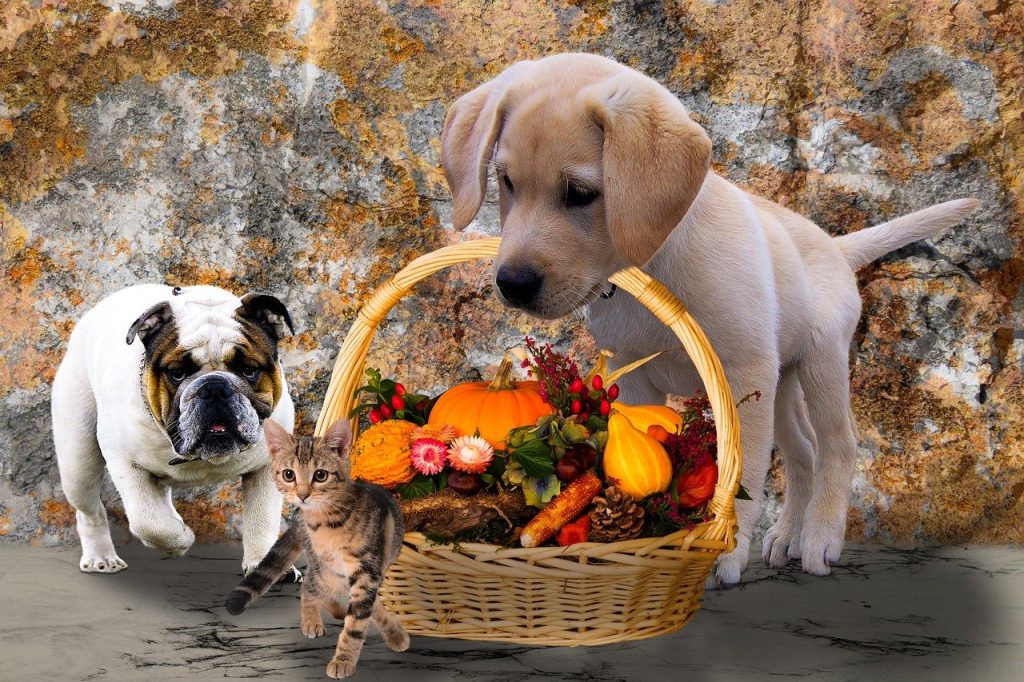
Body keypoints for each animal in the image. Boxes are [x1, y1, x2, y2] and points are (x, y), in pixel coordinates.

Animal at [52, 282, 296, 573]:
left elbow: (263, 519)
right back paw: (101, 557)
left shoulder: (267, 468)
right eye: (177, 373)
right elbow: (149, 522)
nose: (214, 386)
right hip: (78, 462)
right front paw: (180, 540)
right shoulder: (125, 463)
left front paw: (264, 565)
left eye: (249, 370)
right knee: (91, 510)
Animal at [227, 417, 407, 675]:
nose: (302, 495)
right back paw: (312, 619)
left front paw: (346, 657)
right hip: (324, 569)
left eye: (320, 475)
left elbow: (360, 617)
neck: (325, 523)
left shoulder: (366, 571)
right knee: (309, 586)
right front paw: (344, 659)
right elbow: (358, 612)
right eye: (289, 475)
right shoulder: (343, 570)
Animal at [438, 53, 974, 585]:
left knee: (838, 445)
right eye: (506, 182)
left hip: (820, 363)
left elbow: (746, 472)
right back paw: (786, 536)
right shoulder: (636, 376)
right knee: (802, 452)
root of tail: (834, 245)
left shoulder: (742, 373)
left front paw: (724, 551)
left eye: (581, 193)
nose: (512, 284)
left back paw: (820, 539)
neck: (652, 268)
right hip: (781, 380)